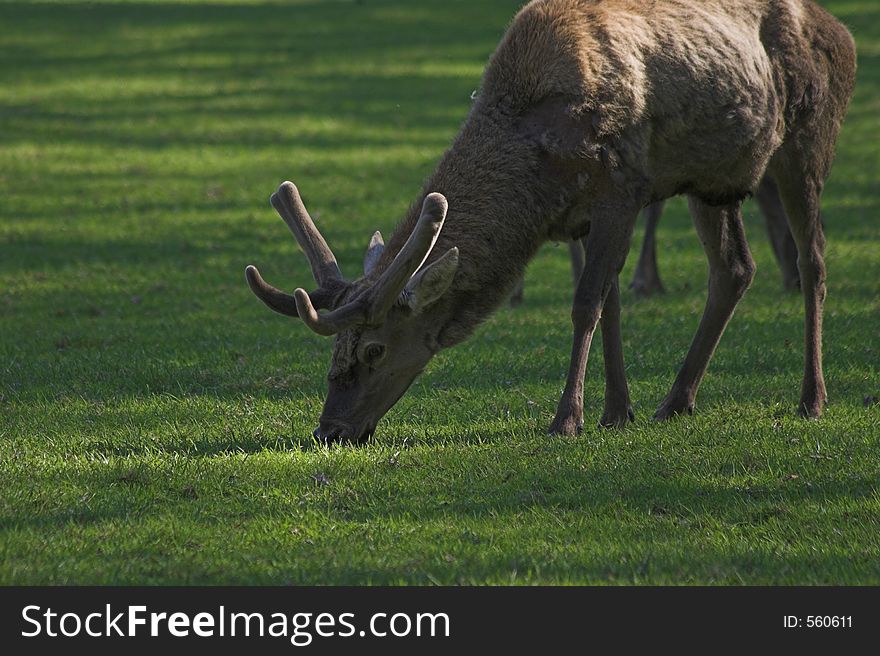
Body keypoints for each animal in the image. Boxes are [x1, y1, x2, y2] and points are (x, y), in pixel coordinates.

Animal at [246, 1, 852, 440]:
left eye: (375, 350)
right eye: (335, 351)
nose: (329, 430)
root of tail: (840, 31)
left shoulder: (620, 188)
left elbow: (585, 304)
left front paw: (567, 419)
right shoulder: (581, 213)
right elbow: (608, 303)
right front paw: (617, 411)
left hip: (806, 142)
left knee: (814, 258)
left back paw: (812, 398)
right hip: (715, 180)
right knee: (734, 269)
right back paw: (677, 401)